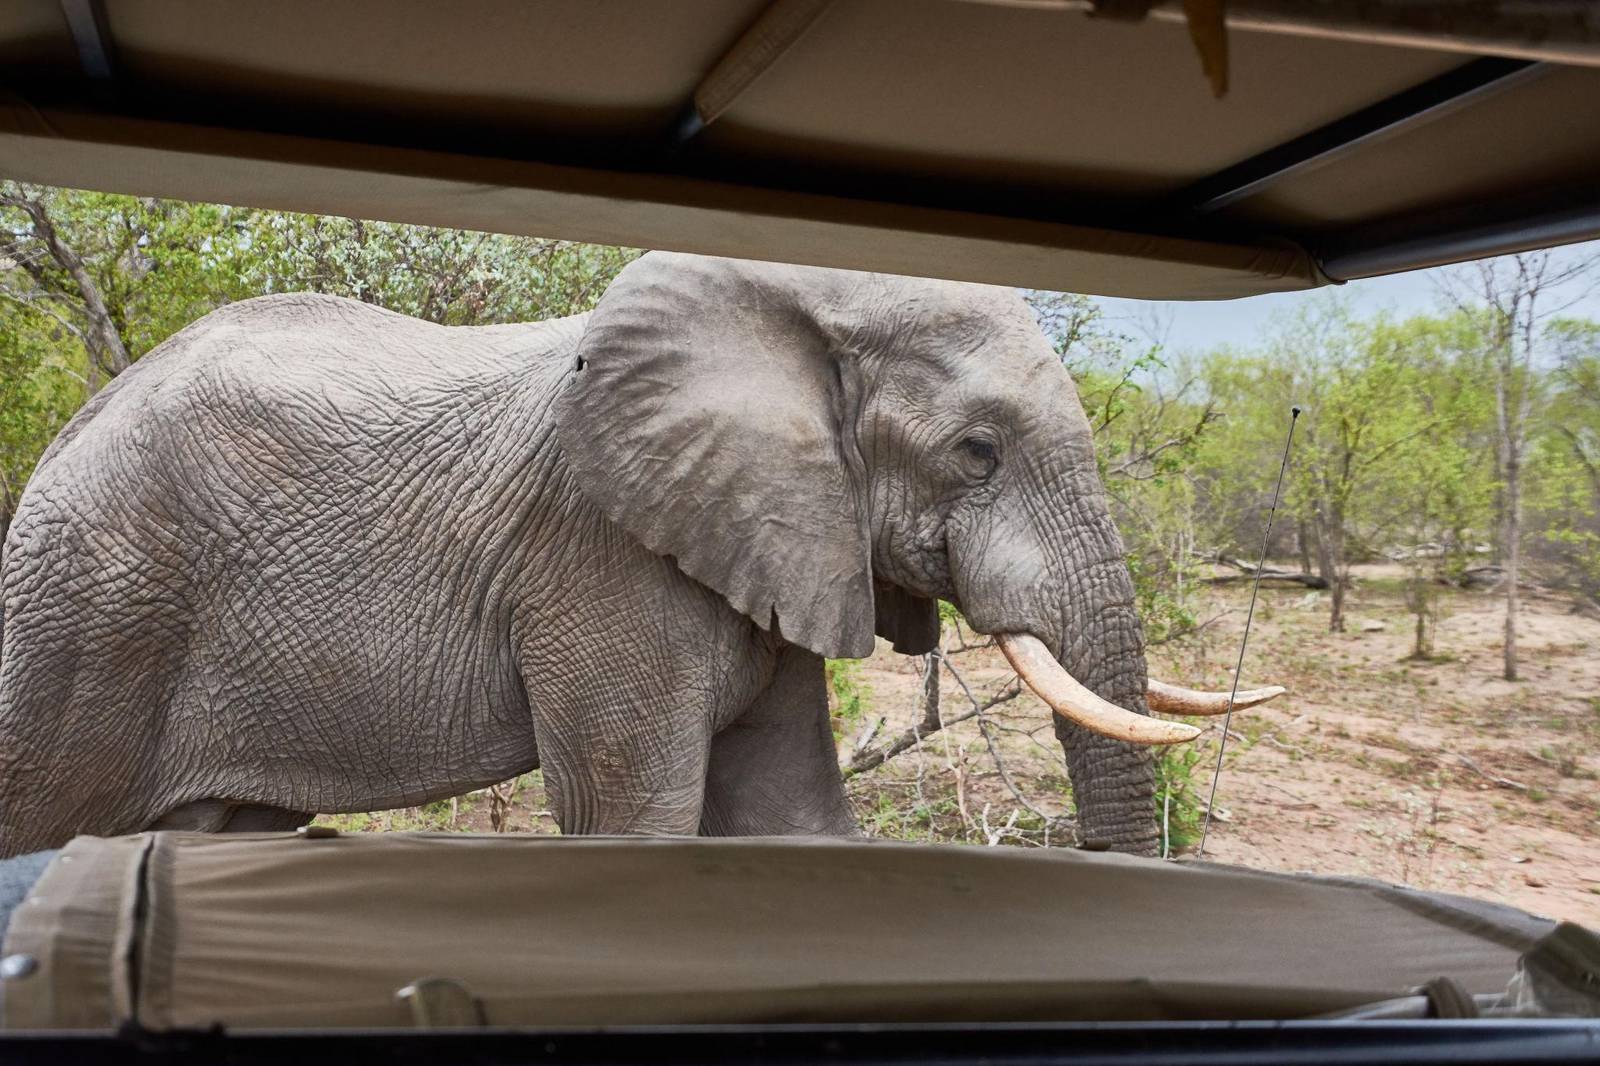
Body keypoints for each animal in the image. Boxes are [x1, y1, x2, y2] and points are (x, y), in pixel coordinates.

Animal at [0, 251, 1279, 859]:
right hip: (91, 614)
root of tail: (73, 431)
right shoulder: (600, 559)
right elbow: (635, 821)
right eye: (977, 452)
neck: (800, 290)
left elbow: (793, 819)